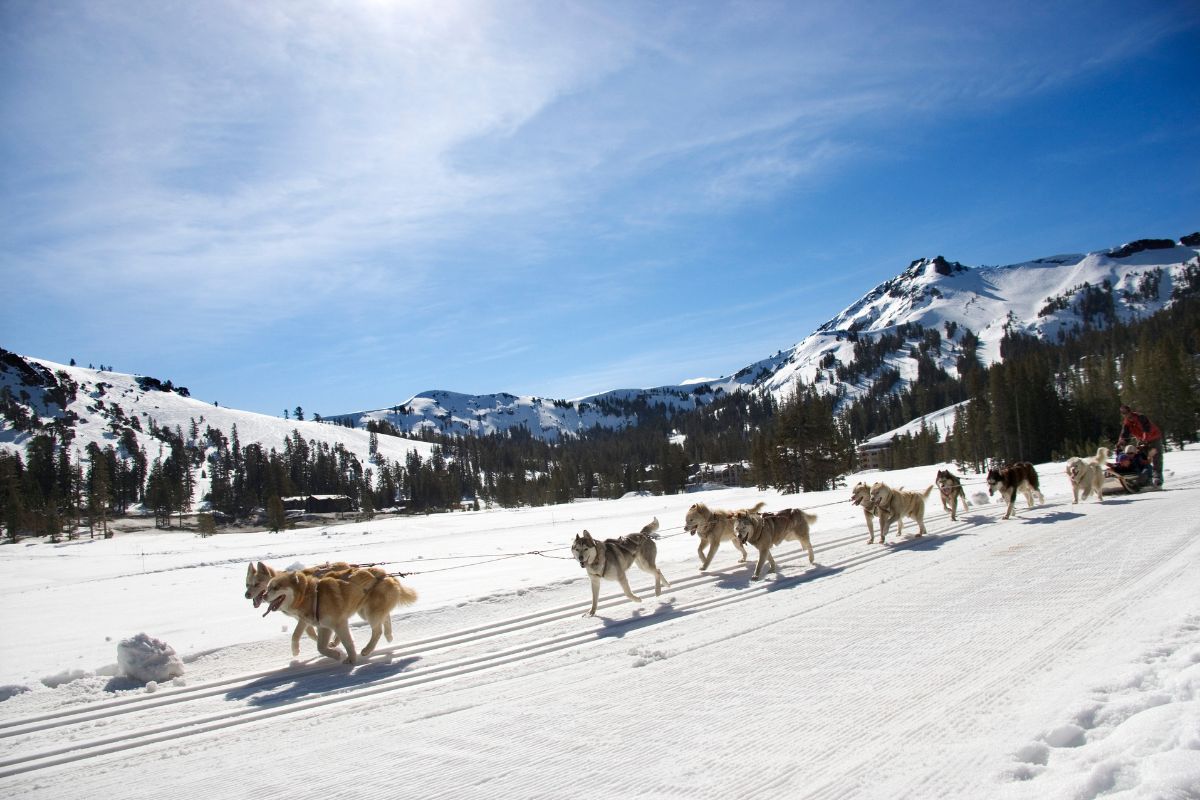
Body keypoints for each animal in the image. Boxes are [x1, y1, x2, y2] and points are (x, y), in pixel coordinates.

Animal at [262, 563, 417, 662]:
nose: (263, 596)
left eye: (275, 587)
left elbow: (348, 643)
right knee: (385, 618)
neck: (312, 595)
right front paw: (335, 655)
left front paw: (351, 660)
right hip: (365, 611)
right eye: (268, 587)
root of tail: (387, 576)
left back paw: (367, 649)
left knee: (377, 631)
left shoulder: (339, 624)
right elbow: (320, 647)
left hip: (370, 613)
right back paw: (389, 636)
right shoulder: (324, 627)